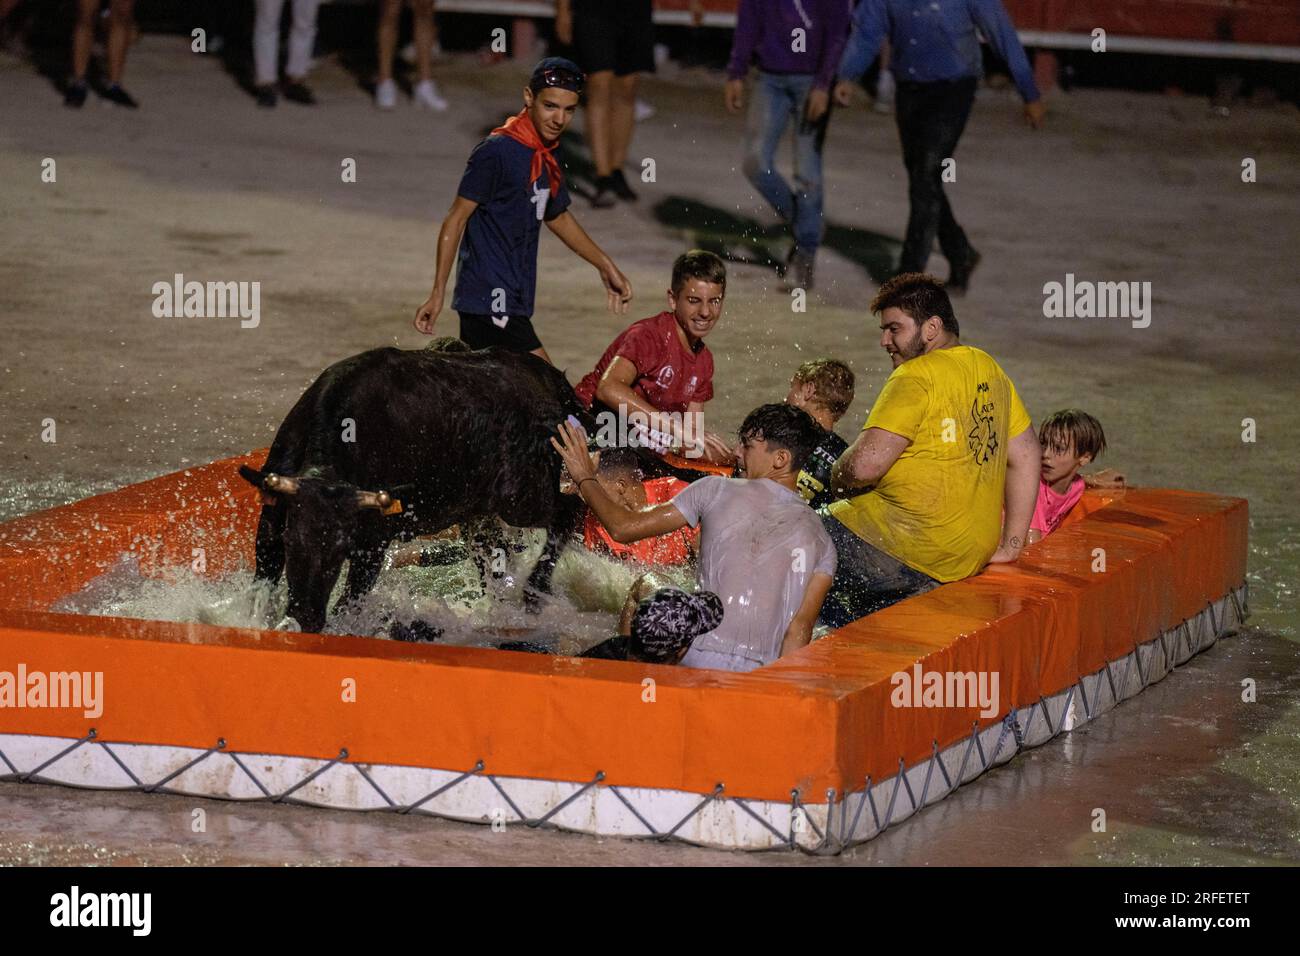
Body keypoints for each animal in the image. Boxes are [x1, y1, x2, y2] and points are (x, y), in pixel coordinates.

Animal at [239, 345, 595, 634]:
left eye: (339, 549)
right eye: (291, 541)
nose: (306, 617)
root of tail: (548, 378)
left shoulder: (373, 544)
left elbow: (348, 604)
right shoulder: (271, 524)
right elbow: (262, 584)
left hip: (522, 499)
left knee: (570, 510)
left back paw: (534, 593)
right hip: (479, 511)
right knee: (493, 558)